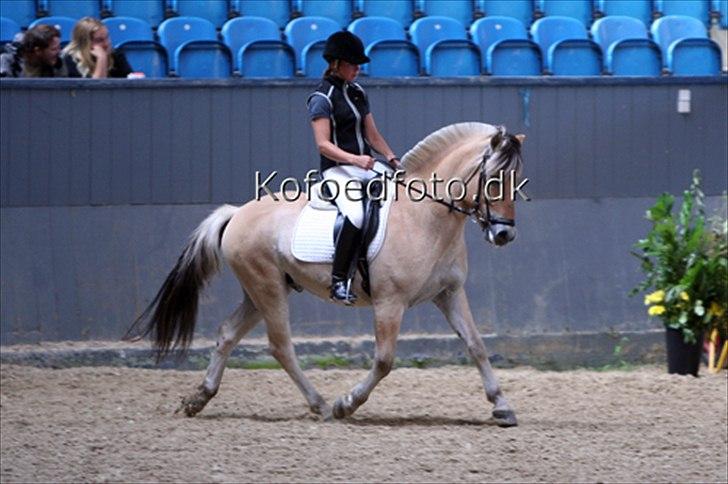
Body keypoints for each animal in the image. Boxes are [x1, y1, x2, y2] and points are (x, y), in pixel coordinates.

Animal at [128, 121, 528, 428]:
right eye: (494, 180)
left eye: (517, 180)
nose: (504, 235)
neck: (426, 216)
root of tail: (237, 213)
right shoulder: (390, 302)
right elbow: (384, 360)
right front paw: (345, 404)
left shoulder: (449, 294)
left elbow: (476, 346)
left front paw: (502, 406)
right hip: (267, 287)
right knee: (281, 346)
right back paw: (321, 405)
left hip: (260, 291)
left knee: (227, 333)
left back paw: (199, 398)